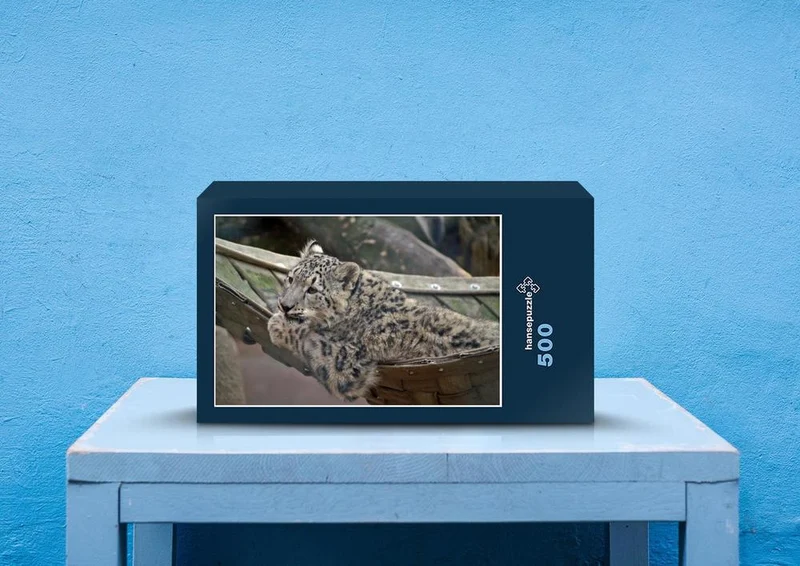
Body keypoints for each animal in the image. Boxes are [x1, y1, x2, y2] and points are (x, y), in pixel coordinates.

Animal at [267, 240, 500, 401]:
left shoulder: (345, 362)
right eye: (291, 278)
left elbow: (307, 338)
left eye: (312, 289)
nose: (284, 306)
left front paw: (278, 325)